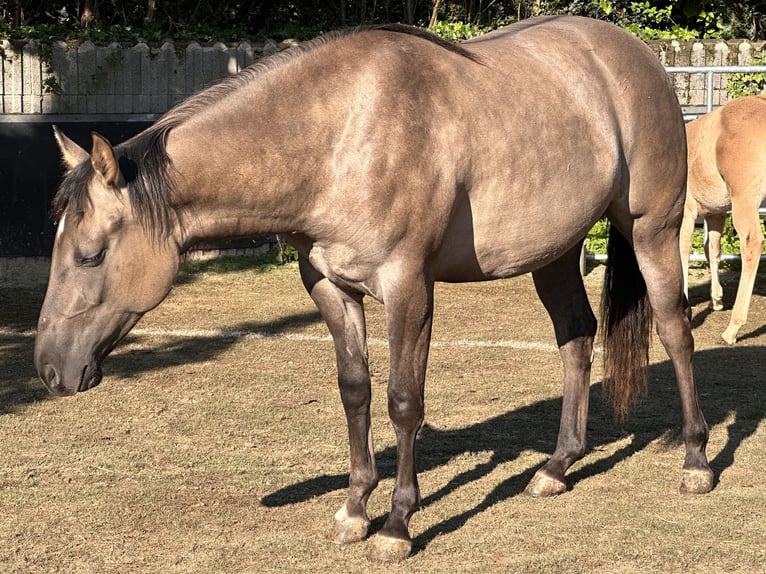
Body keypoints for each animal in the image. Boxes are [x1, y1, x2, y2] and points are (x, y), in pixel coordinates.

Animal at [36, 16, 712, 564]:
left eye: (90, 254)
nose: (48, 370)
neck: (338, 137)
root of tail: (640, 57)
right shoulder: (330, 286)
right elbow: (355, 392)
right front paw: (355, 508)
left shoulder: (408, 287)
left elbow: (402, 402)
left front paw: (395, 525)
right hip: (554, 253)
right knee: (576, 338)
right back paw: (556, 467)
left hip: (652, 230)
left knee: (675, 332)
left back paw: (696, 461)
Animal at [684, 96, 766, 344]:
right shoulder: (715, 213)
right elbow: (712, 250)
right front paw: (717, 300)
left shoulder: (685, 212)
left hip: (744, 199)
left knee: (752, 243)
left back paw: (733, 328)